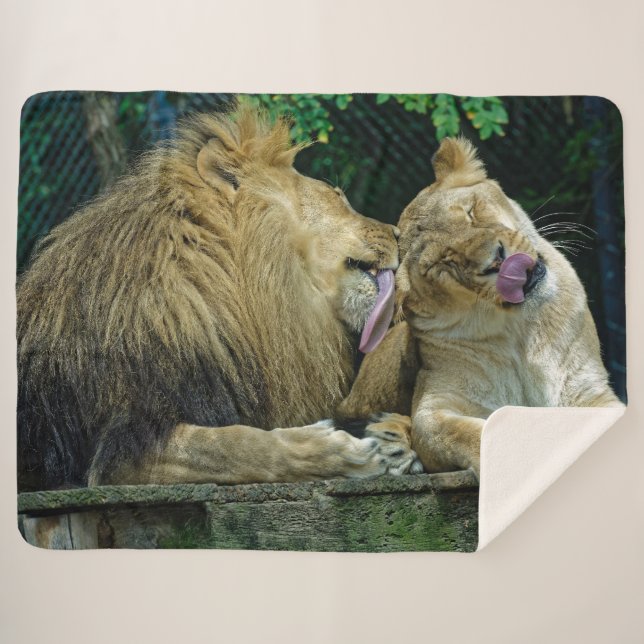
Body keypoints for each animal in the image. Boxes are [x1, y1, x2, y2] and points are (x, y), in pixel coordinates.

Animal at [17, 104, 419, 491]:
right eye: (338, 196)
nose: (399, 234)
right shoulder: (120, 450)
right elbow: (236, 445)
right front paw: (344, 452)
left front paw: (392, 434)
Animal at [339, 137, 623, 479]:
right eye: (444, 262)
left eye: (470, 212)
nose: (498, 260)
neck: (518, 332)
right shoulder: (434, 407)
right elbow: (470, 432)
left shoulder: (590, 392)